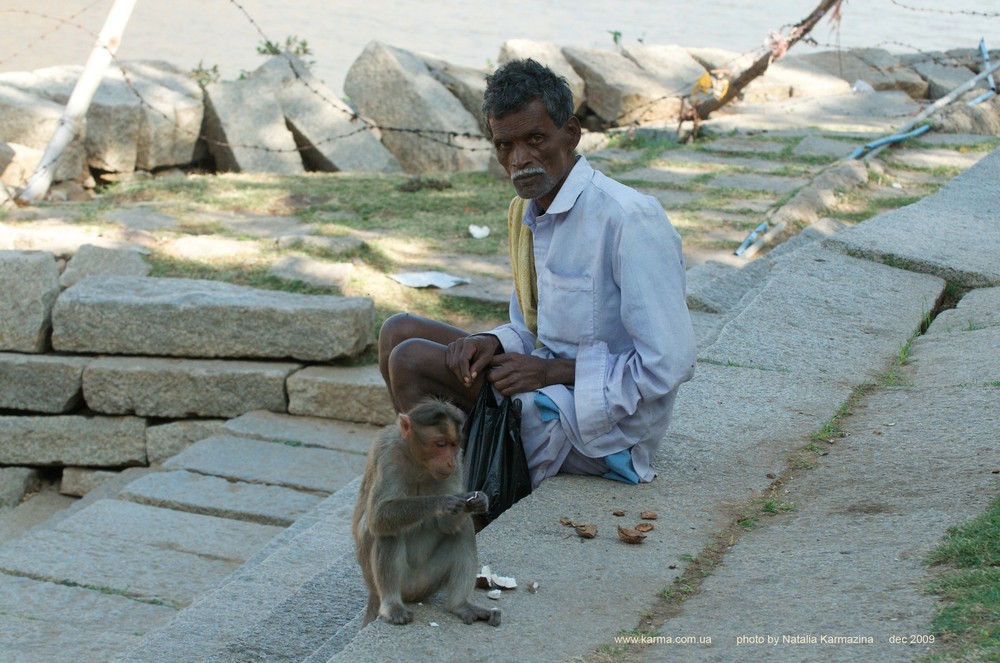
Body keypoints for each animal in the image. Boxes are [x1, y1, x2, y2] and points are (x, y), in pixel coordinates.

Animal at [356, 400, 504, 628]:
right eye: (440, 444)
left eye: (453, 445)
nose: (450, 462)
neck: (418, 462)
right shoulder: (388, 451)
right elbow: (378, 516)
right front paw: (443, 502)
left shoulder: (459, 460)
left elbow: (448, 526)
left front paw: (478, 500)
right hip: (391, 583)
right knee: (388, 532)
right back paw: (392, 606)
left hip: (427, 581)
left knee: (462, 529)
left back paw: (460, 605)